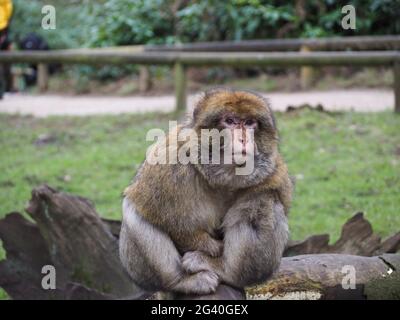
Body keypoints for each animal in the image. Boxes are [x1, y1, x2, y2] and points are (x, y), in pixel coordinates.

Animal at [120, 87, 292, 296]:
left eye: (250, 122)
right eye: (230, 121)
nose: (244, 139)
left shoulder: (271, 170)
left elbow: (270, 193)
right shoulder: (169, 161)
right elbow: (155, 211)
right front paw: (210, 246)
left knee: (262, 202)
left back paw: (226, 271)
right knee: (133, 210)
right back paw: (181, 281)